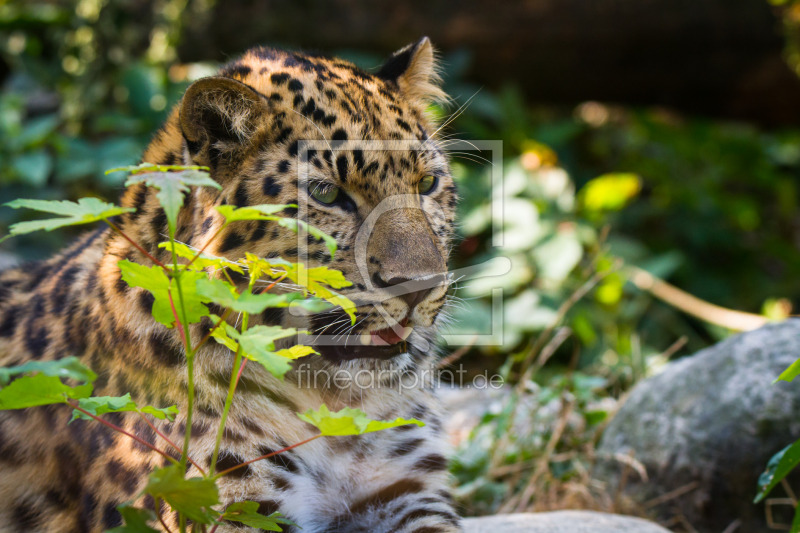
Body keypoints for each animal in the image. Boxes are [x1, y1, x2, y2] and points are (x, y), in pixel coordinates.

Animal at [0, 38, 462, 532]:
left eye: (427, 183)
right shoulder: (218, 504)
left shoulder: (408, 490)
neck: (332, 400)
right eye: (326, 194)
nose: (419, 287)